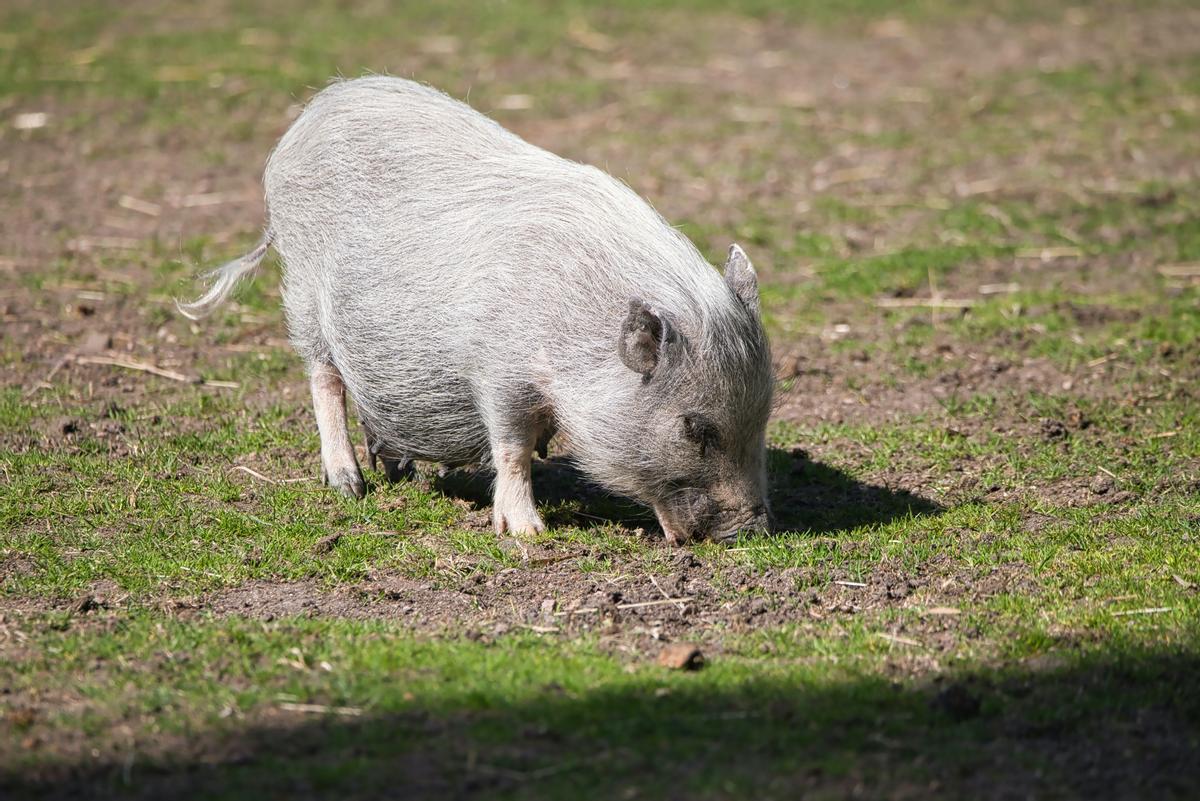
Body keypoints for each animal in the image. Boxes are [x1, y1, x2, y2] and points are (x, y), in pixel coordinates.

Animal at [181, 76, 772, 544]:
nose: (753, 531)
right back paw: (350, 487)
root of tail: (312, 113)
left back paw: (393, 470)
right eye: (695, 427)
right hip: (301, 289)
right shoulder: (499, 376)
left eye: (766, 415)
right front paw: (527, 534)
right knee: (323, 377)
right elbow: (510, 448)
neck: (574, 337)